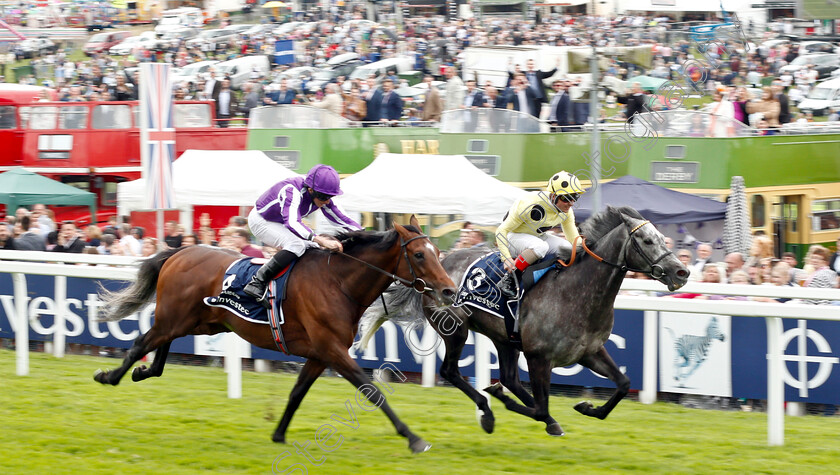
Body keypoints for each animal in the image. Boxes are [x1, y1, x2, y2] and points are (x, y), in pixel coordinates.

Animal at [95, 217, 456, 454]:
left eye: (438, 252)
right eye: (419, 254)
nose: (449, 290)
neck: (339, 282)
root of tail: (178, 252)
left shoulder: (320, 353)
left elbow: (297, 393)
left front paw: (279, 434)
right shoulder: (333, 349)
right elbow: (372, 392)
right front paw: (413, 438)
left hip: (198, 321)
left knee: (158, 352)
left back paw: (141, 371)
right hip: (176, 317)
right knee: (141, 343)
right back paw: (108, 376)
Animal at [358, 206, 692, 436]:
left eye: (662, 238)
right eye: (647, 241)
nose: (682, 272)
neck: (578, 292)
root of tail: (437, 263)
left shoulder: (589, 352)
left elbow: (623, 383)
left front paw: (588, 407)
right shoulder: (539, 356)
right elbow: (542, 406)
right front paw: (513, 405)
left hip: (504, 338)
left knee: (509, 378)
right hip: (456, 330)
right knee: (451, 371)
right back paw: (488, 411)